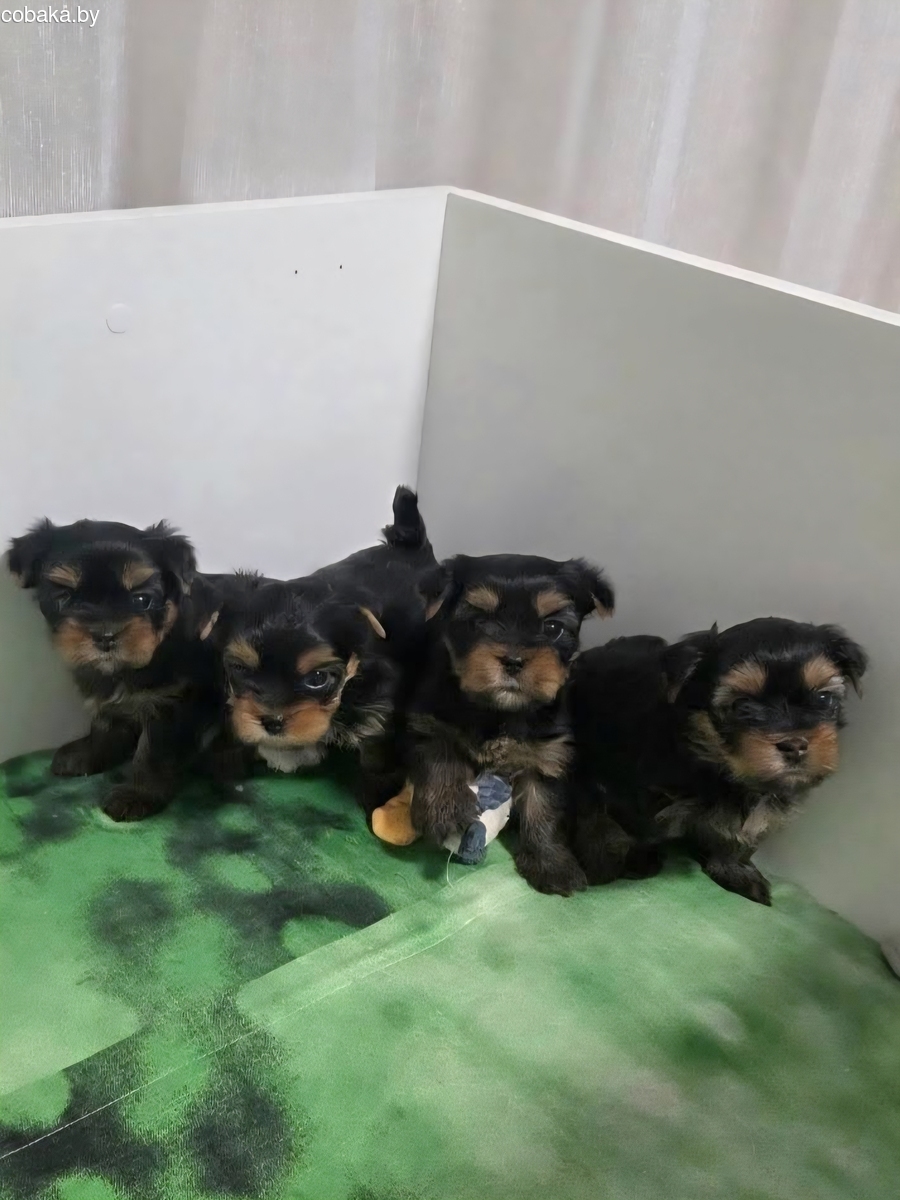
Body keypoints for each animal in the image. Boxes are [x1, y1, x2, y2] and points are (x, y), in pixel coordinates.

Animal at [6, 518, 219, 820]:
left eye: (142, 600)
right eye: (64, 597)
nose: (105, 636)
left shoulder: (173, 702)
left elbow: (153, 750)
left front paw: (138, 795)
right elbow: (104, 723)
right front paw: (87, 755)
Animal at [207, 487, 435, 801]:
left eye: (317, 678)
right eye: (240, 670)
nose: (272, 722)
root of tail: (410, 545)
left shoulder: (379, 701)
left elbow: (374, 750)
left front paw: (376, 794)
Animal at [406, 553, 614, 895]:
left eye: (553, 627)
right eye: (478, 622)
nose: (513, 661)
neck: (501, 710)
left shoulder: (548, 754)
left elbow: (544, 808)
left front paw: (551, 863)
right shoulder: (428, 721)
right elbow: (440, 755)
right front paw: (446, 807)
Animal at [569, 618, 868, 905]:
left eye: (824, 698)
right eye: (742, 706)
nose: (794, 745)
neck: (718, 762)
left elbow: (737, 837)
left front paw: (733, 870)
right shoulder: (635, 793)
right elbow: (627, 830)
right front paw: (632, 861)